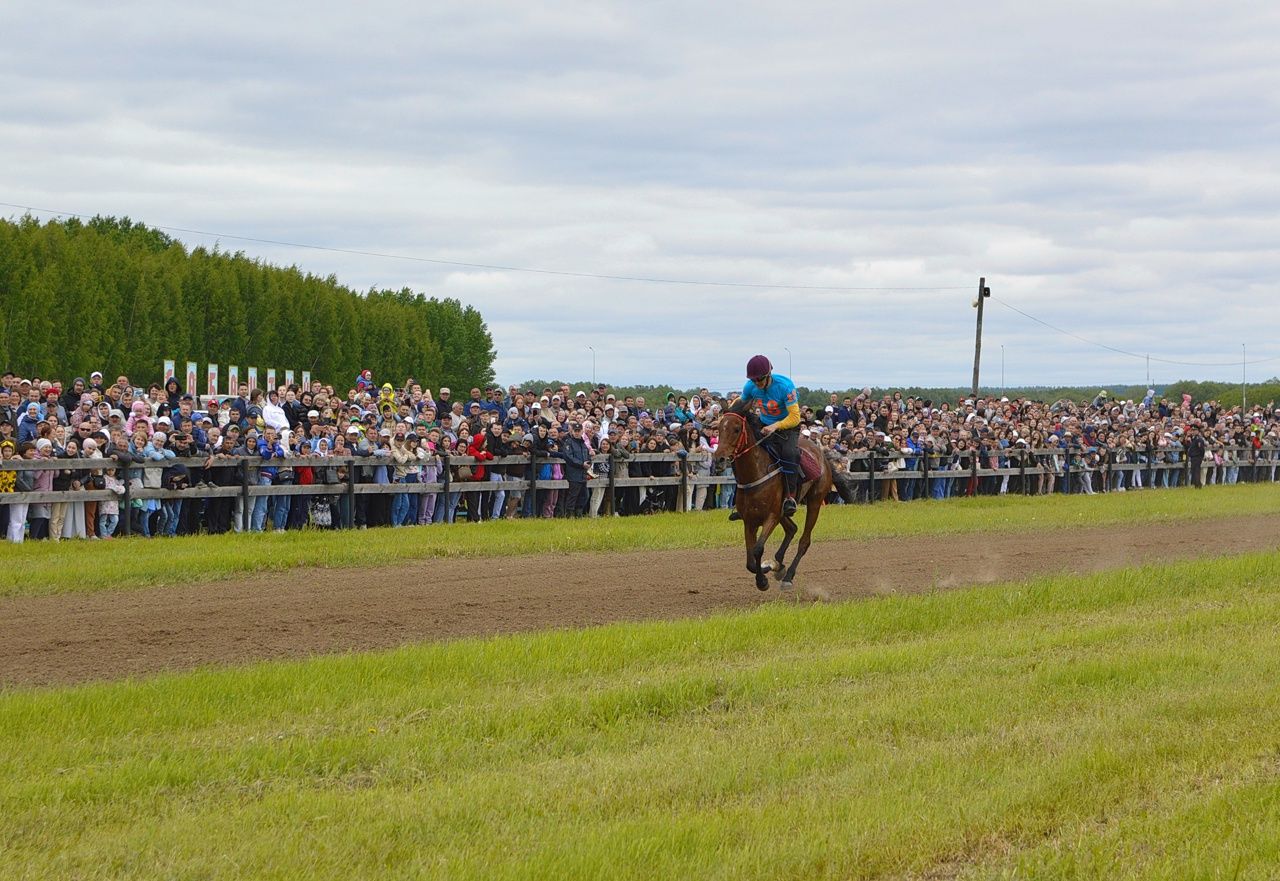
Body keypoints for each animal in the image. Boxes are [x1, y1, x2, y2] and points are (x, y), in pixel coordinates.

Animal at [716, 412, 834, 591]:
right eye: (718, 428)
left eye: (736, 429)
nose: (719, 459)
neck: (756, 473)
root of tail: (820, 453)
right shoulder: (749, 521)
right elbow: (750, 561)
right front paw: (769, 568)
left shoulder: (771, 517)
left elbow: (758, 549)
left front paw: (763, 580)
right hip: (783, 513)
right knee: (792, 528)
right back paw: (778, 564)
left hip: (814, 501)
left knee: (804, 541)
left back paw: (788, 576)